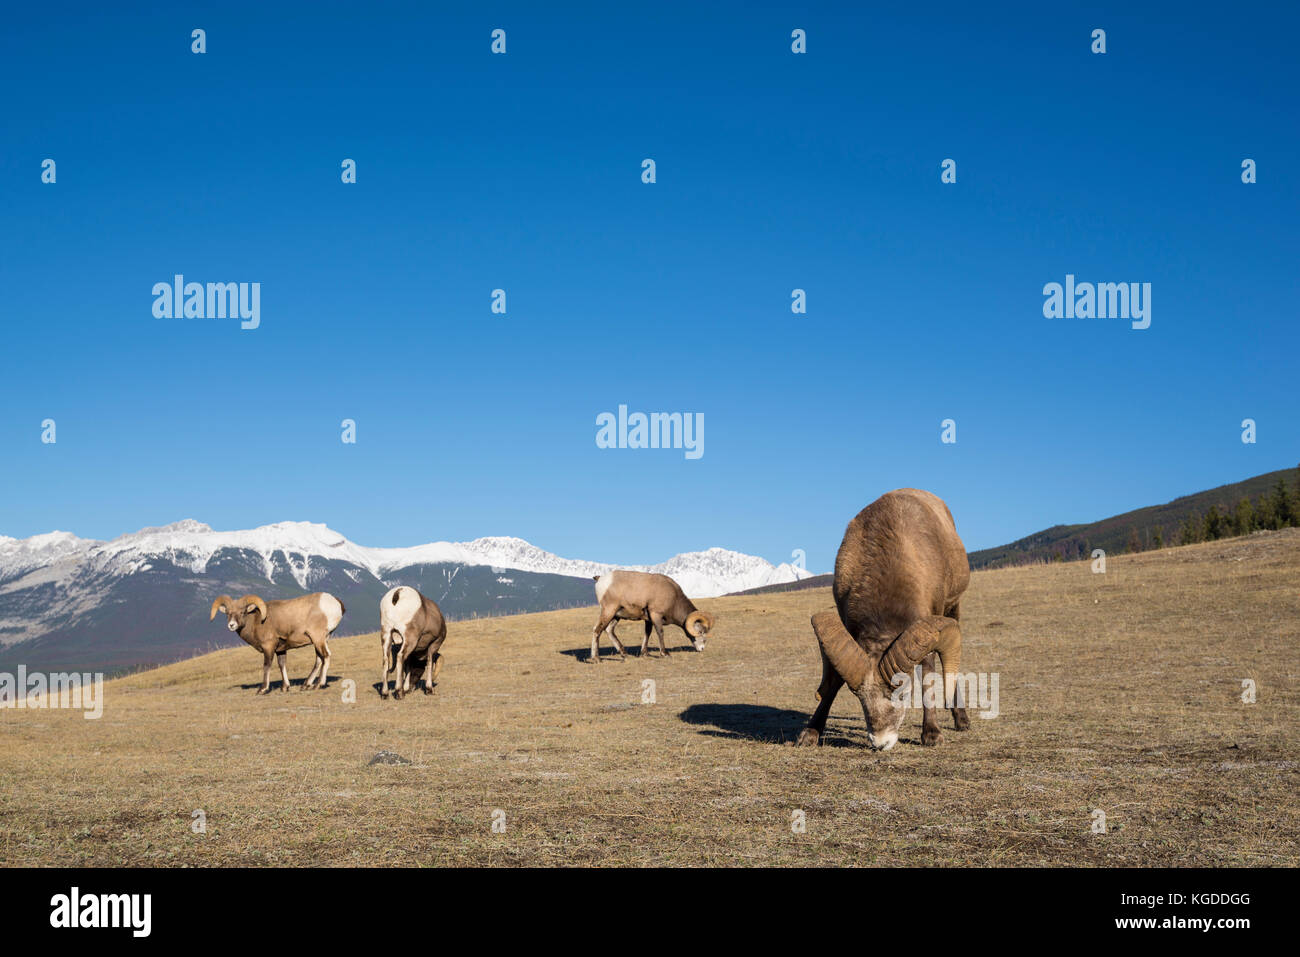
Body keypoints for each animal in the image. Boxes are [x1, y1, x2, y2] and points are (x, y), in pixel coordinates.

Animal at [209, 592, 345, 695]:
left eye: (242, 612)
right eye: (227, 613)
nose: (231, 625)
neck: (257, 621)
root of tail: (336, 603)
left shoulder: (268, 647)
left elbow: (267, 665)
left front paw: (262, 689)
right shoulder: (280, 650)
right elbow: (281, 665)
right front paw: (285, 687)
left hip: (317, 638)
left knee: (325, 656)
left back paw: (318, 685)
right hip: (321, 639)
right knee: (319, 659)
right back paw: (306, 685)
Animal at [796, 488, 970, 750]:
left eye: (904, 693)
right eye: (858, 696)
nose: (880, 743)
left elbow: (928, 675)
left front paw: (932, 735)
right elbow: (833, 682)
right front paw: (810, 733)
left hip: (953, 607)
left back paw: (961, 720)